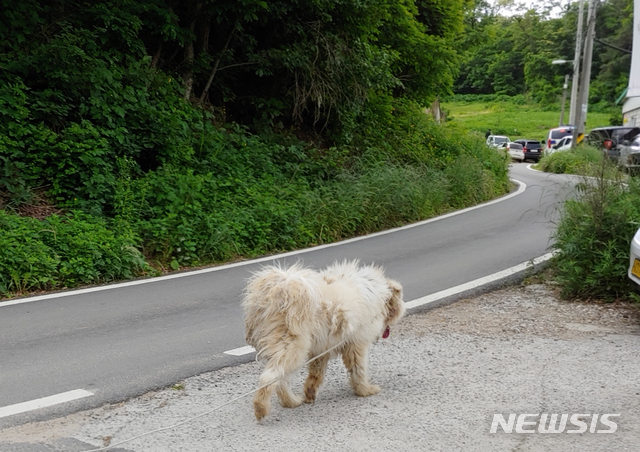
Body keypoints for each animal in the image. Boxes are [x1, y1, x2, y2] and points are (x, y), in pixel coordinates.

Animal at [241, 260, 404, 422]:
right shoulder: (356, 343)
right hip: (293, 346)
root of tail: (280, 289)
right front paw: (365, 390)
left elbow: (316, 373)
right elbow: (358, 369)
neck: (377, 292)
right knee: (270, 377)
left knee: (281, 379)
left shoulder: (321, 349)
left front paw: (310, 391)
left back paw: (291, 401)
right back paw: (261, 407)